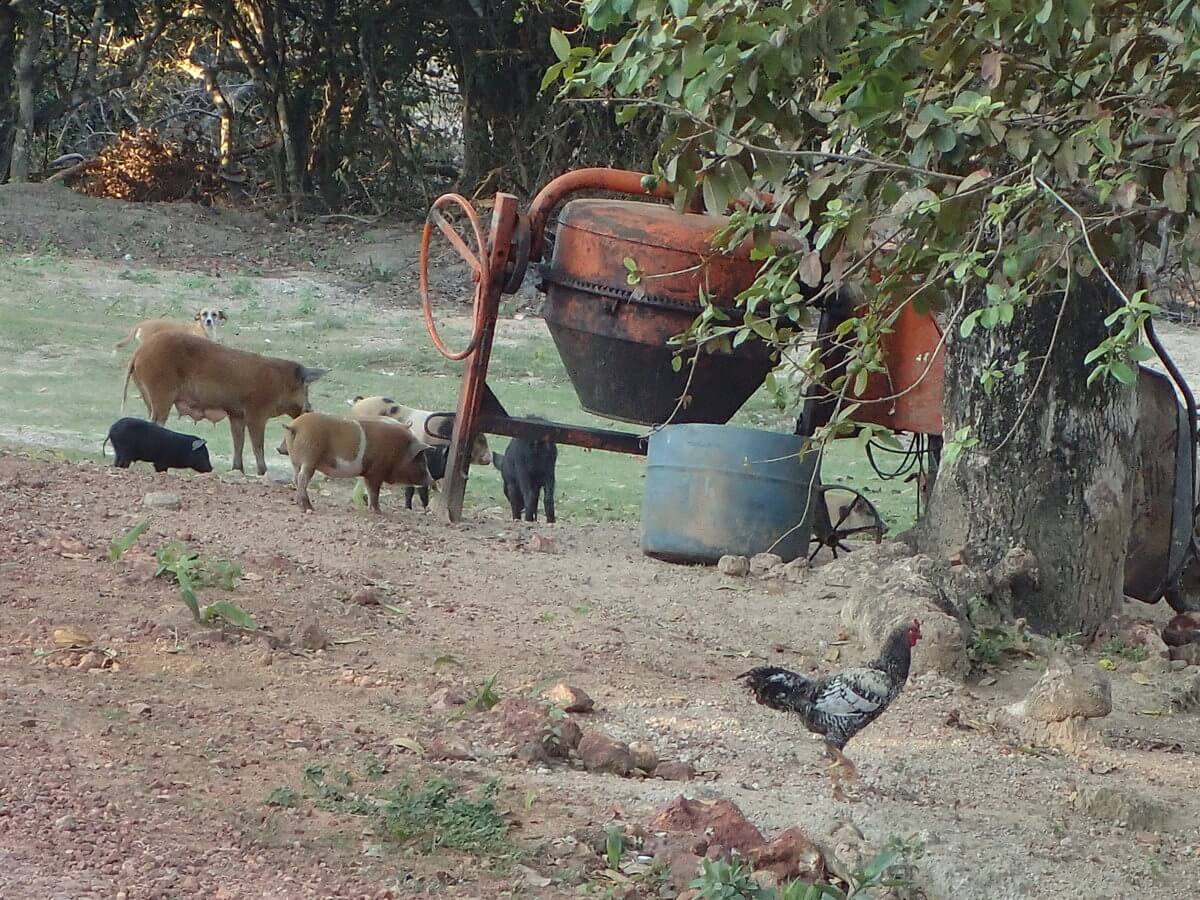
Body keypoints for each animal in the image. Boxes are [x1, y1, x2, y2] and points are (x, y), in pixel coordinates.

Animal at [124, 328, 326, 472]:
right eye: (306, 388)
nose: (310, 408)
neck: (279, 383)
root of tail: (138, 353)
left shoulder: (236, 415)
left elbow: (238, 441)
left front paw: (238, 470)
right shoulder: (256, 413)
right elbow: (257, 444)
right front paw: (262, 472)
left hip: (148, 395)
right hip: (161, 393)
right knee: (156, 422)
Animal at [278, 410, 434, 511]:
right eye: (421, 459)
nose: (431, 480)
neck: (399, 450)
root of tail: (294, 426)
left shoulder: (369, 473)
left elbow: (370, 491)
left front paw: (371, 509)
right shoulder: (375, 472)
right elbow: (374, 492)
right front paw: (378, 511)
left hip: (296, 461)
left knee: (295, 478)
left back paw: (299, 504)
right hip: (309, 458)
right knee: (302, 479)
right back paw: (309, 508)